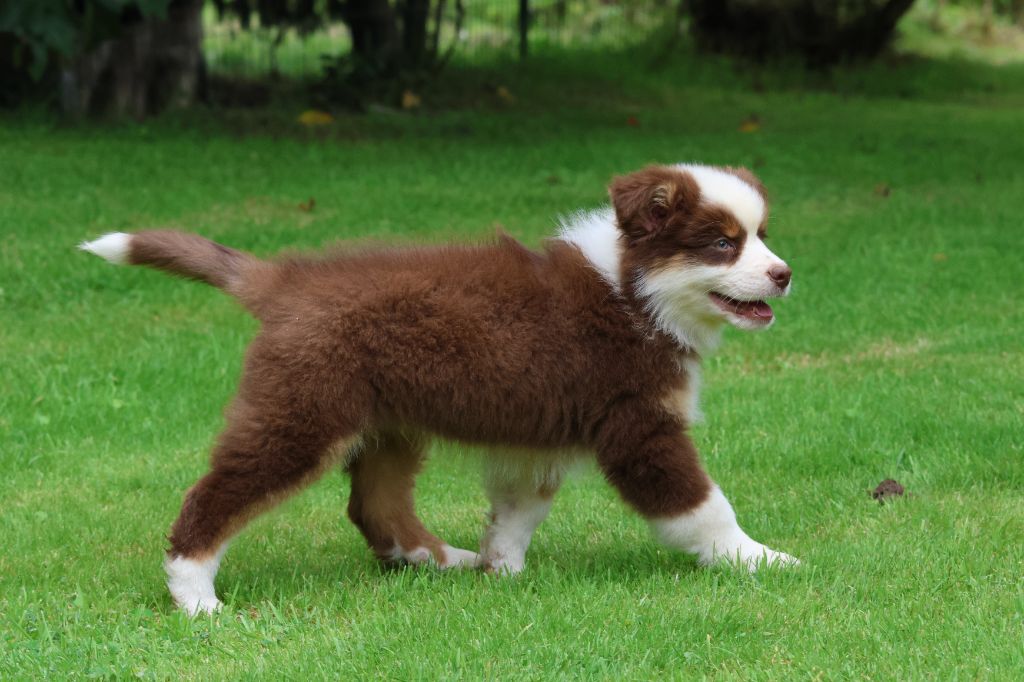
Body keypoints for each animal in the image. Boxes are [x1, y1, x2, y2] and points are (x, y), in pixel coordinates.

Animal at [81, 163, 797, 615]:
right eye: (722, 243)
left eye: (761, 236)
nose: (784, 274)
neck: (634, 290)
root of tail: (285, 280)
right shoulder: (638, 426)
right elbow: (702, 506)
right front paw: (757, 558)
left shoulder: (538, 439)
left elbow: (518, 510)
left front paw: (501, 570)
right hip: (302, 414)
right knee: (216, 494)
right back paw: (194, 594)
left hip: (389, 422)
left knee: (373, 504)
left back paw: (440, 560)